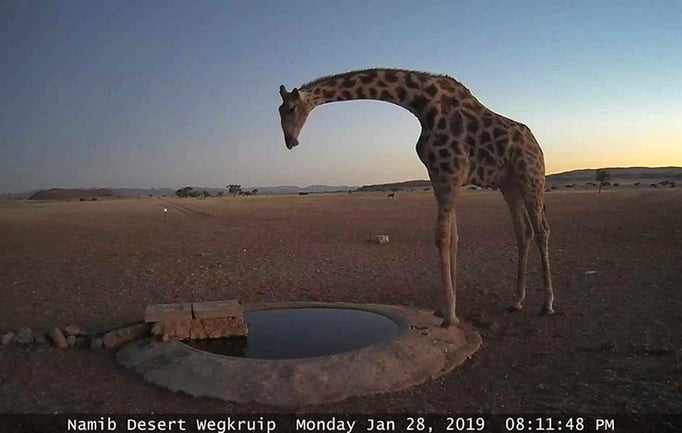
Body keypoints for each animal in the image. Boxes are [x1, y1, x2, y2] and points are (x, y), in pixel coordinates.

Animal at [278, 68, 554, 327]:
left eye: (290, 108)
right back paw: (517, 301)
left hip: (531, 177)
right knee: (523, 231)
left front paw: (450, 317)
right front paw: (447, 309)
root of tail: (537, 145)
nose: (290, 141)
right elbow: (453, 238)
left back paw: (547, 304)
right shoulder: (439, 177)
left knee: (542, 229)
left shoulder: (449, 174)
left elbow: (442, 237)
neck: (421, 104)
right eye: (279, 111)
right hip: (509, 184)